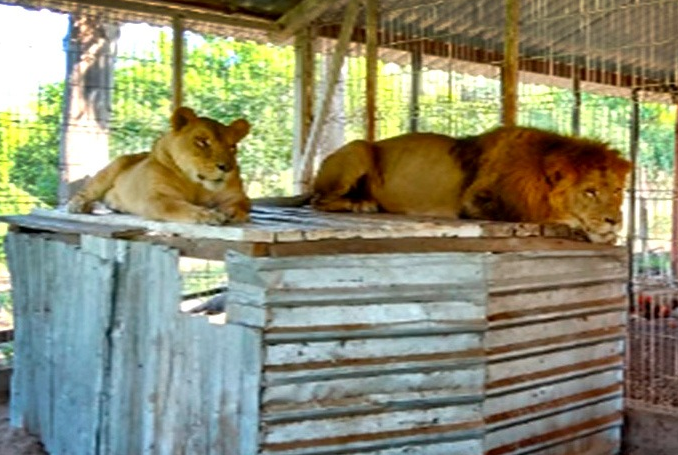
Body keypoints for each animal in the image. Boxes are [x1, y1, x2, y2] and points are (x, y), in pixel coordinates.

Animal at [67, 107, 254, 224]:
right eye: (202, 142)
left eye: (232, 147)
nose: (227, 168)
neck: (196, 185)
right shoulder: (156, 198)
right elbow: (179, 207)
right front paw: (208, 215)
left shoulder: (237, 196)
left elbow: (242, 204)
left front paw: (230, 212)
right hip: (114, 167)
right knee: (88, 191)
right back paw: (78, 205)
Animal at [310, 124, 636, 246]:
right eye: (589, 191)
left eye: (617, 191)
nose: (615, 220)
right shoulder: (479, 201)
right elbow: (542, 215)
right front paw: (593, 230)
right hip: (358, 148)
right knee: (318, 200)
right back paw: (361, 203)